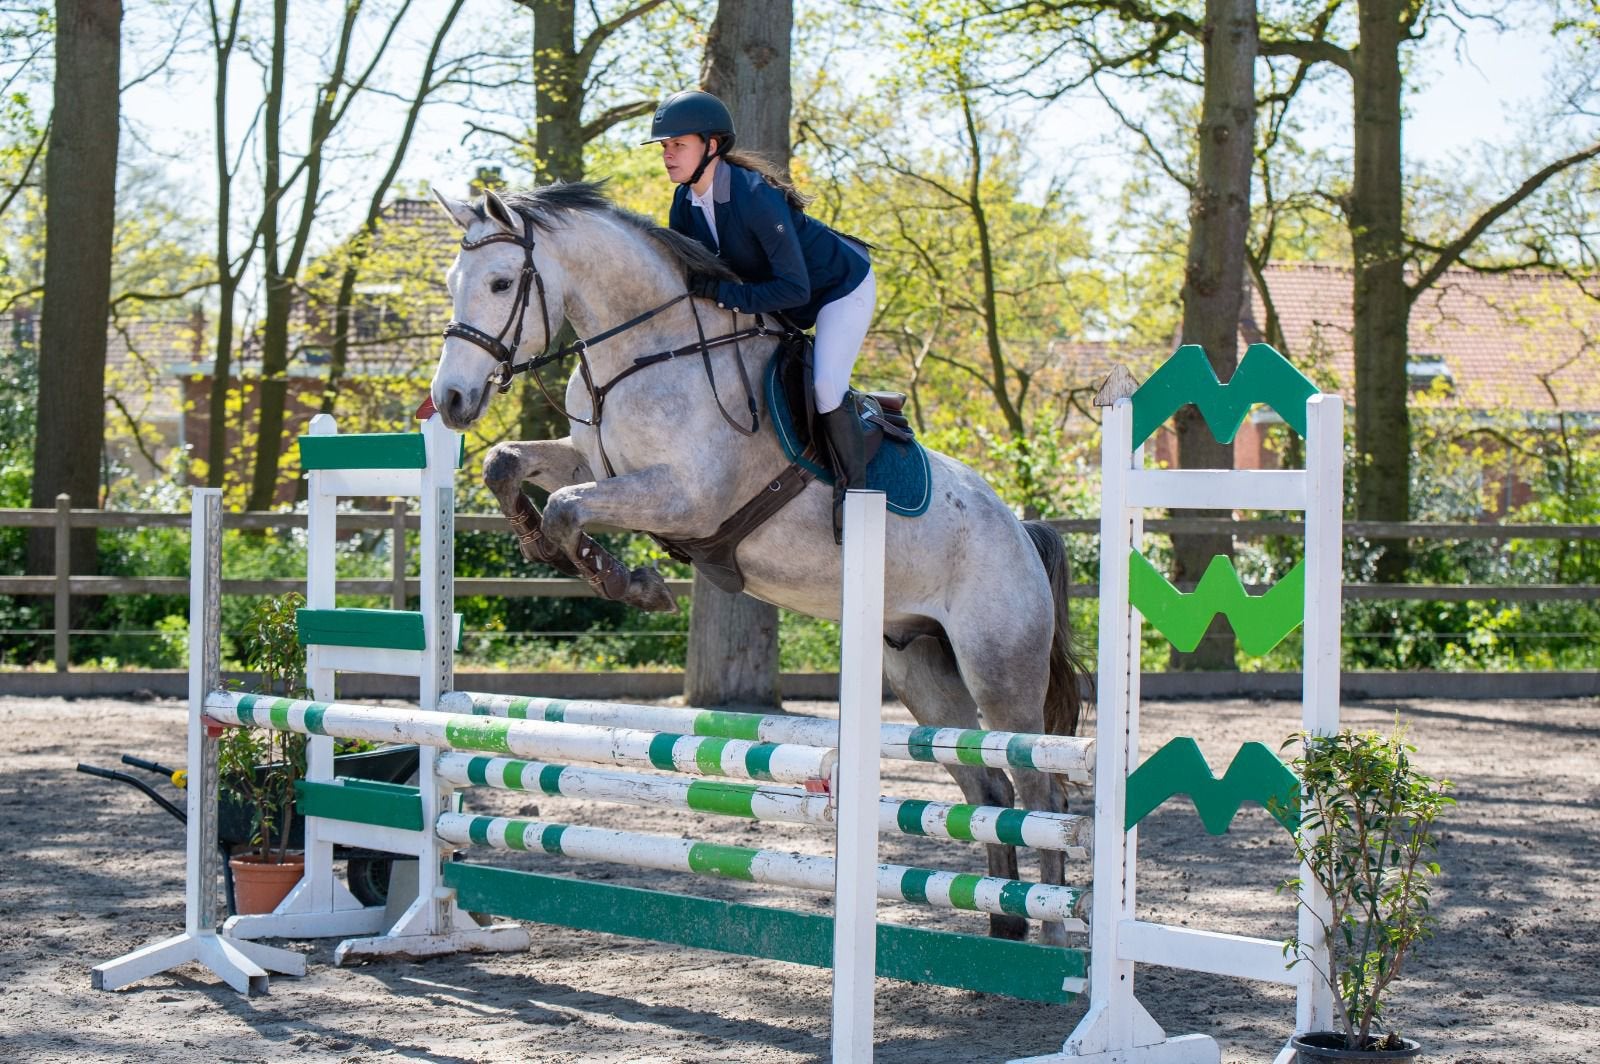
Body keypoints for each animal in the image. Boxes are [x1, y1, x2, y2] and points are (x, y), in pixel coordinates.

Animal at [428, 182, 1087, 943]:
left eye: (502, 283)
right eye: (452, 281)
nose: (450, 400)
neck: (645, 352)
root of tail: (1020, 532)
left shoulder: (684, 498)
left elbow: (568, 507)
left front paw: (632, 582)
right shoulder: (595, 461)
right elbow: (509, 466)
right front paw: (542, 544)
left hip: (999, 669)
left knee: (1040, 786)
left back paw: (1052, 933)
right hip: (919, 668)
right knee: (988, 785)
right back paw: (1005, 927)